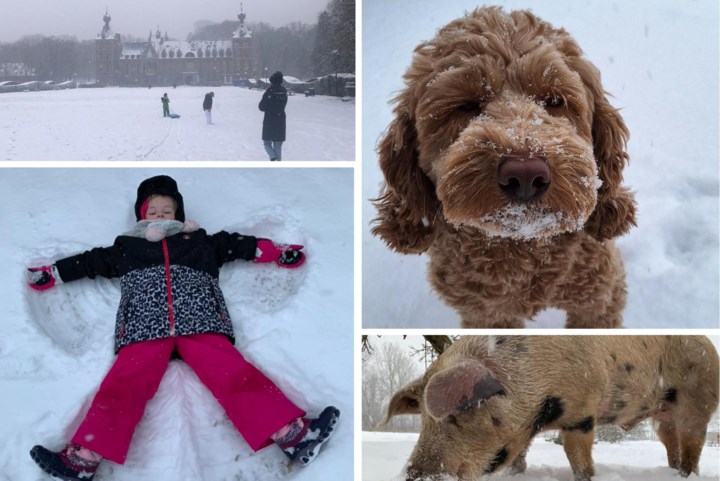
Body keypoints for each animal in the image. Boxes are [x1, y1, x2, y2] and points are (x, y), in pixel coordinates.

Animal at [372, 7, 636, 328]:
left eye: (555, 100)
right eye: (466, 105)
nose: (525, 174)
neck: (521, 245)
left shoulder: (599, 298)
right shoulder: (485, 313)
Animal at [386, 336, 716, 478]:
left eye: (458, 413)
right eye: (423, 419)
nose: (413, 474)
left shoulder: (581, 411)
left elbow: (578, 457)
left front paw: (587, 476)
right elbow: (519, 455)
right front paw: (516, 474)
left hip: (697, 403)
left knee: (692, 443)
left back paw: (686, 475)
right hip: (663, 416)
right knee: (671, 442)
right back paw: (672, 471)